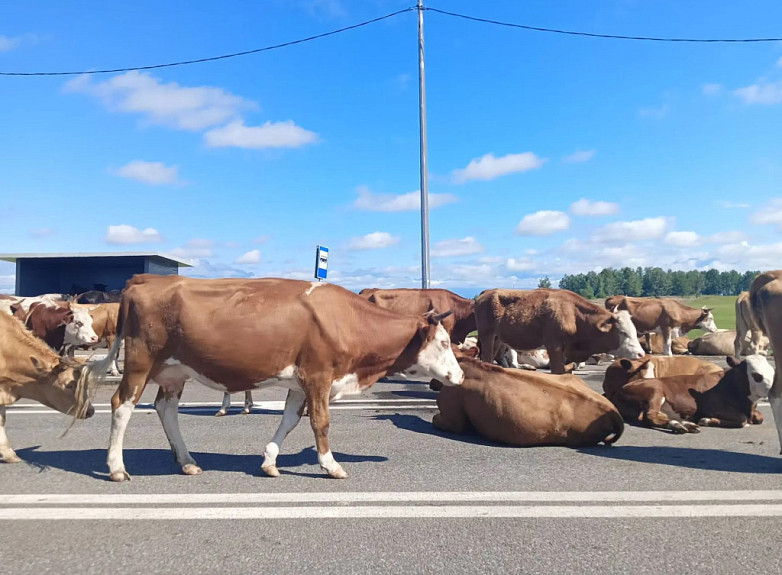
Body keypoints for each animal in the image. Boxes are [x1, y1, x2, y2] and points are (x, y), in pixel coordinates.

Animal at [84, 275, 464, 481]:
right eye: (444, 342)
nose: (459, 376)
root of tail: (145, 280)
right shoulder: (319, 375)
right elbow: (320, 422)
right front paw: (331, 465)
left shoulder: (300, 381)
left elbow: (290, 421)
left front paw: (269, 461)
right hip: (141, 362)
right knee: (122, 406)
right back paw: (116, 467)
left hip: (175, 372)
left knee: (165, 409)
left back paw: (188, 462)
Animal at [475, 288, 645, 374]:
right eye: (623, 332)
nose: (641, 354)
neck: (573, 314)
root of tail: (487, 292)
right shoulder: (554, 347)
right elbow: (558, 372)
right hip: (486, 335)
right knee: (487, 358)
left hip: (497, 338)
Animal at [611, 355, 773, 433]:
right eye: (756, 375)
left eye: (772, 372)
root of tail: (621, 389)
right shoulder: (711, 407)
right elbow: (741, 420)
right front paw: (706, 420)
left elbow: (759, 417)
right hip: (655, 390)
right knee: (650, 416)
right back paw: (678, 425)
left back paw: (687, 424)